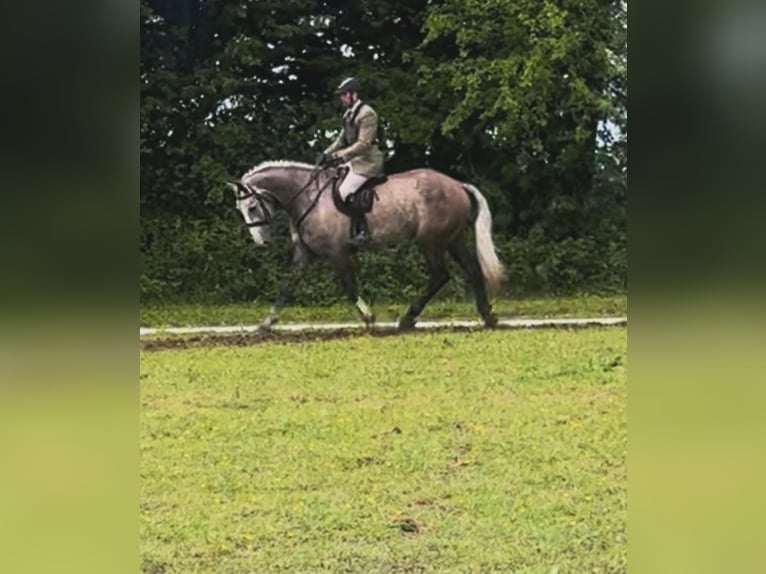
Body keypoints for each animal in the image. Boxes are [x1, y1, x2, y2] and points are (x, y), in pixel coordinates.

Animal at [228, 162, 504, 332]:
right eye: (239, 210)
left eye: (252, 206)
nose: (261, 241)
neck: (307, 198)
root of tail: (457, 185)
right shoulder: (304, 254)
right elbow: (287, 286)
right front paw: (266, 324)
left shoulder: (337, 253)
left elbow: (349, 287)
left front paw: (369, 318)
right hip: (452, 239)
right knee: (472, 269)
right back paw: (487, 317)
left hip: (431, 242)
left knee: (439, 275)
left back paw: (407, 318)